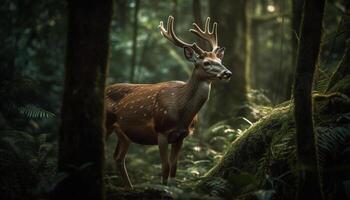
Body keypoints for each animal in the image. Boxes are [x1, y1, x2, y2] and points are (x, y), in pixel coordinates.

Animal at [106, 15, 232, 189]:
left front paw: (172, 189)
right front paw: (163, 188)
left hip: (124, 133)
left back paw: (130, 187)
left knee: (118, 157)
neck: (181, 112)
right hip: (106, 122)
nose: (228, 73)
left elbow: (174, 168)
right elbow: (165, 167)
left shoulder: (182, 135)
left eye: (219, 60)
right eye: (206, 62)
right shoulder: (161, 130)